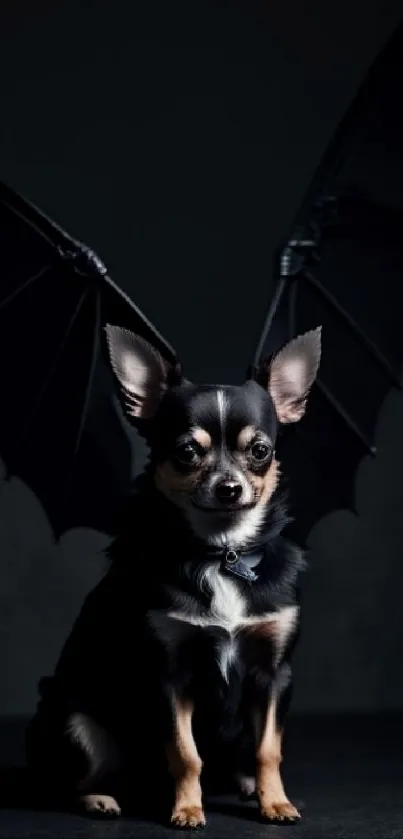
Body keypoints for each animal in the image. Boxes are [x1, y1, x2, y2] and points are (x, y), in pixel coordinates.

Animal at [25, 322, 322, 828]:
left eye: (260, 451)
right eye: (186, 452)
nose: (229, 487)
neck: (221, 553)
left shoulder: (273, 675)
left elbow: (268, 749)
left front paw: (275, 801)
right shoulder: (169, 677)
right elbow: (185, 753)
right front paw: (186, 809)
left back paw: (244, 784)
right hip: (77, 723)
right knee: (68, 783)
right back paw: (100, 798)